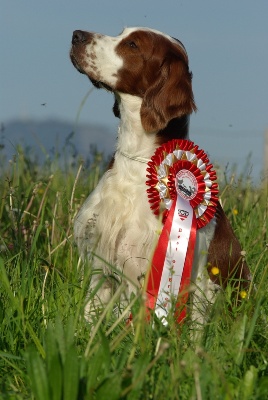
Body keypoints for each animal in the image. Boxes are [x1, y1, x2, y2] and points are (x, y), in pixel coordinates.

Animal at [69, 26, 251, 324]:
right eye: (121, 33)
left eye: (132, 44)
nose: (76, 35)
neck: (138, 158)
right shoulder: (100, 259)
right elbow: (88, 314)